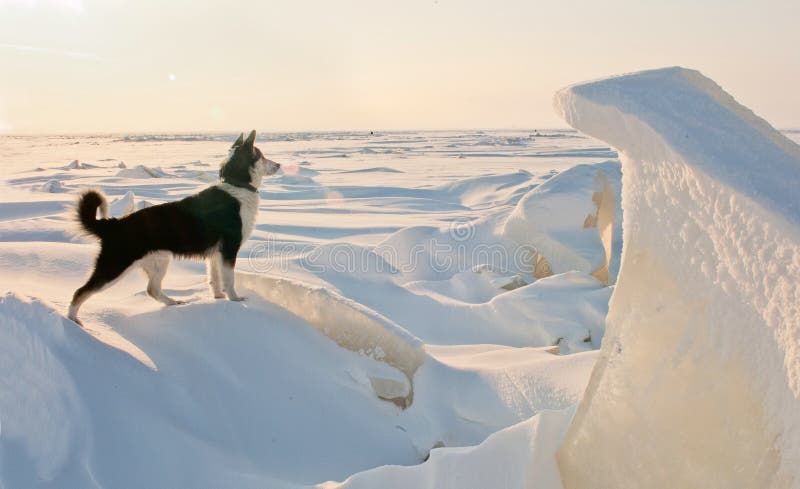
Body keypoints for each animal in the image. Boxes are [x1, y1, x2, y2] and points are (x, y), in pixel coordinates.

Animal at [69, 129, 282, 324]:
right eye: (261, 155)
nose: (279, 165)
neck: (237, 186)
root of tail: (114, 224)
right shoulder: (229, 249)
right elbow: (229, 279)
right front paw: (235, 300)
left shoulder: (215, 254)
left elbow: (214, 279)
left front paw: (218, 298)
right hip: (115, 267)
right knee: (80, 291)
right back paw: (72, 321)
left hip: (159, 262)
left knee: (152, 289)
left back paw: (173, 303)